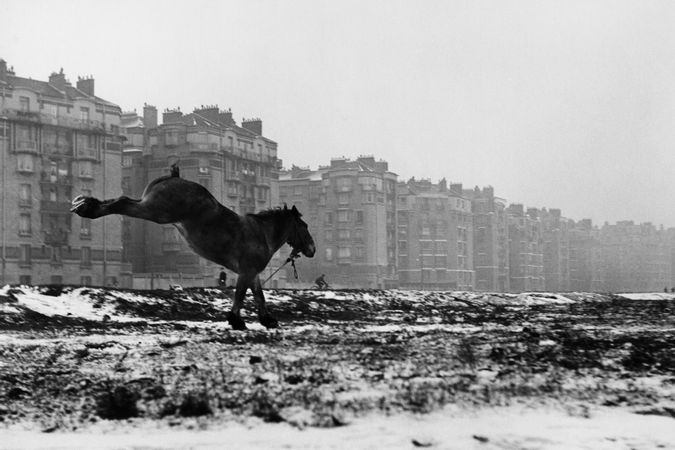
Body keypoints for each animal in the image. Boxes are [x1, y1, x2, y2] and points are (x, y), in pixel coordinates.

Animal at [70, 165, 318, 330]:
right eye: (304, 226)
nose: (312, 249)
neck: (260, 233)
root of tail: (173, 177)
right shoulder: (247, 271)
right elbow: (240, 295)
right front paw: (236, 320)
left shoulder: (252, 272)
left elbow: (258, 295)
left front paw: (266, 319)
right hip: (155, 211)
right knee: (122, 202)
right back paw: (86, 209)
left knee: (120, 201)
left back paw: (86, 204)